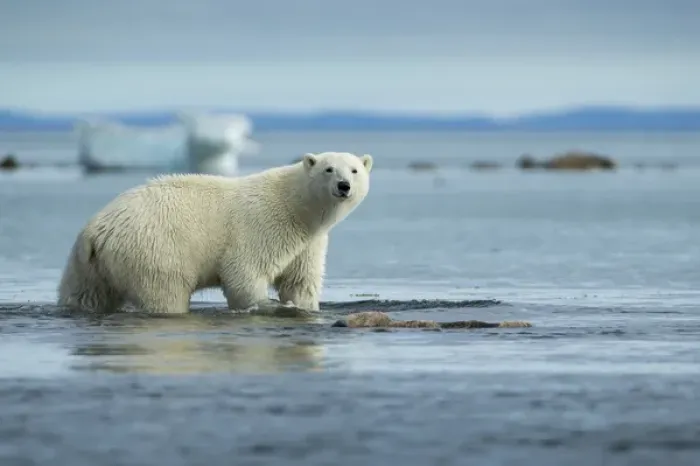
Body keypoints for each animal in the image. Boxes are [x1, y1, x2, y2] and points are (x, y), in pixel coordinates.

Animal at [57, 151, 373, 314]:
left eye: (355, 170)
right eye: (329, 169)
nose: (344, 186)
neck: (295, 208)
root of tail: (96, 229)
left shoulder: (308, 243)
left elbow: (300, 281)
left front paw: (302, 306)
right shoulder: (261, 227)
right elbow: (244, 274)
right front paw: (264, 305)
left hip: (88, 263)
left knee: (85, 295)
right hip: (154, 249)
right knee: (166, 294)